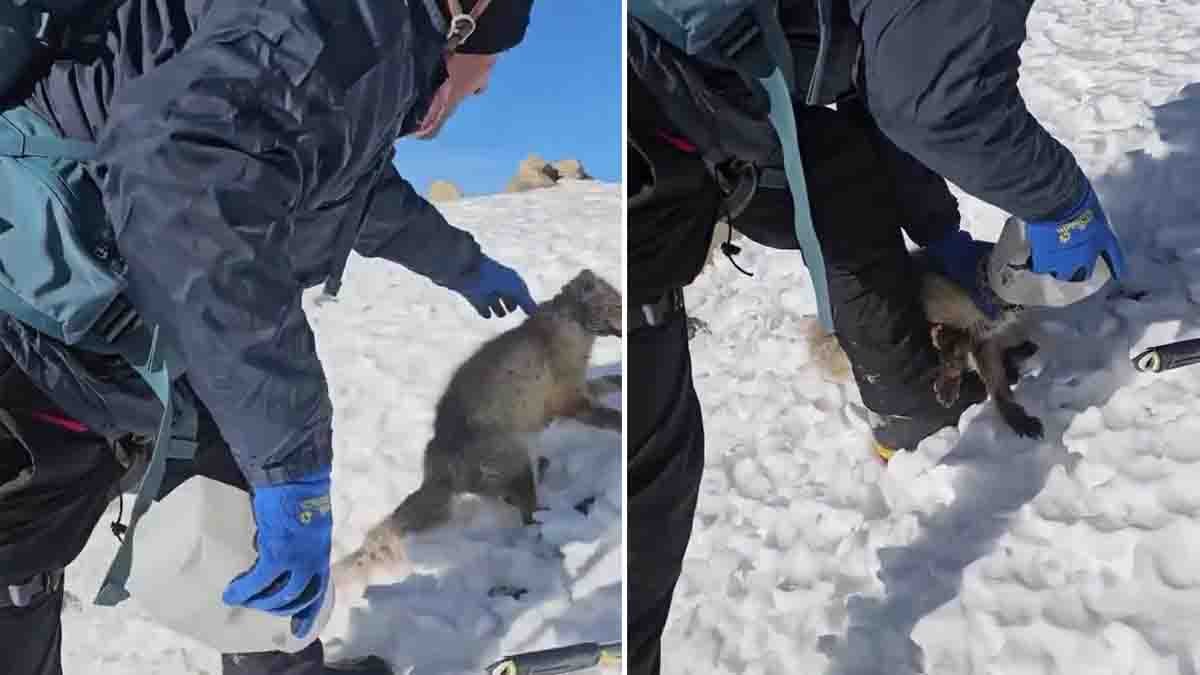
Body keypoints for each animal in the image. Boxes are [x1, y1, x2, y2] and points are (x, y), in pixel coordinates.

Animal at [333, 269, 623, 589]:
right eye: (617, 306)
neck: (569, 325)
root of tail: (438, 470)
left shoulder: (579, 393)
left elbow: (610, 382)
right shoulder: (570, 402)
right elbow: (610, 416)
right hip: (517, 461)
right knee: (528, 517)